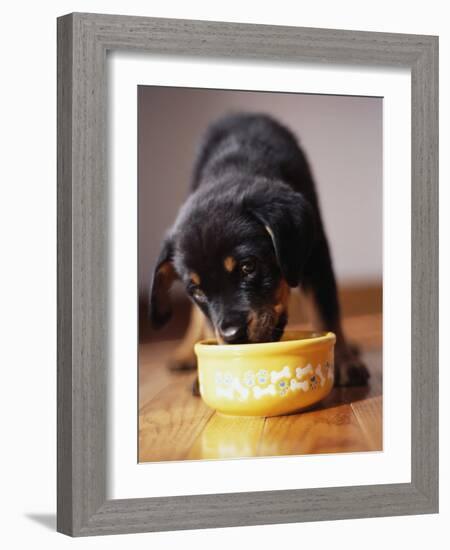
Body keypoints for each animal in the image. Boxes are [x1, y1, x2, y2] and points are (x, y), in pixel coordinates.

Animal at [150, 113, 370, 388]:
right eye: (197, 291)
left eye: (248, 267)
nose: (233, 335)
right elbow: (206, 322)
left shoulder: (316, 254)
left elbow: (325, 310)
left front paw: (343, 362)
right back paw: (183, 353)